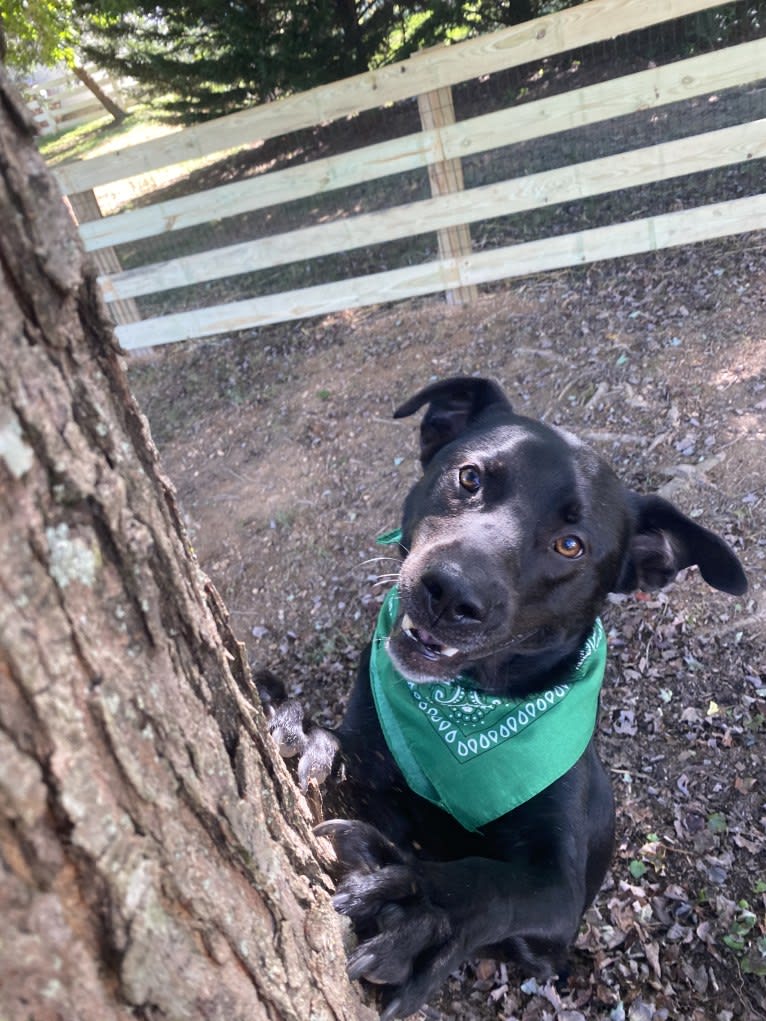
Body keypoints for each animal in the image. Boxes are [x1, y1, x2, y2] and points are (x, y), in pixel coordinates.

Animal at [267, 377, 747, 1021]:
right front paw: (301, 733)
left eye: (570, 545)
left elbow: (492, 884)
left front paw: (419, 906)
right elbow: (348, 760)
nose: (449, 593)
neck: (473, 709)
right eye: (470, 477)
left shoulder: (558, 890)